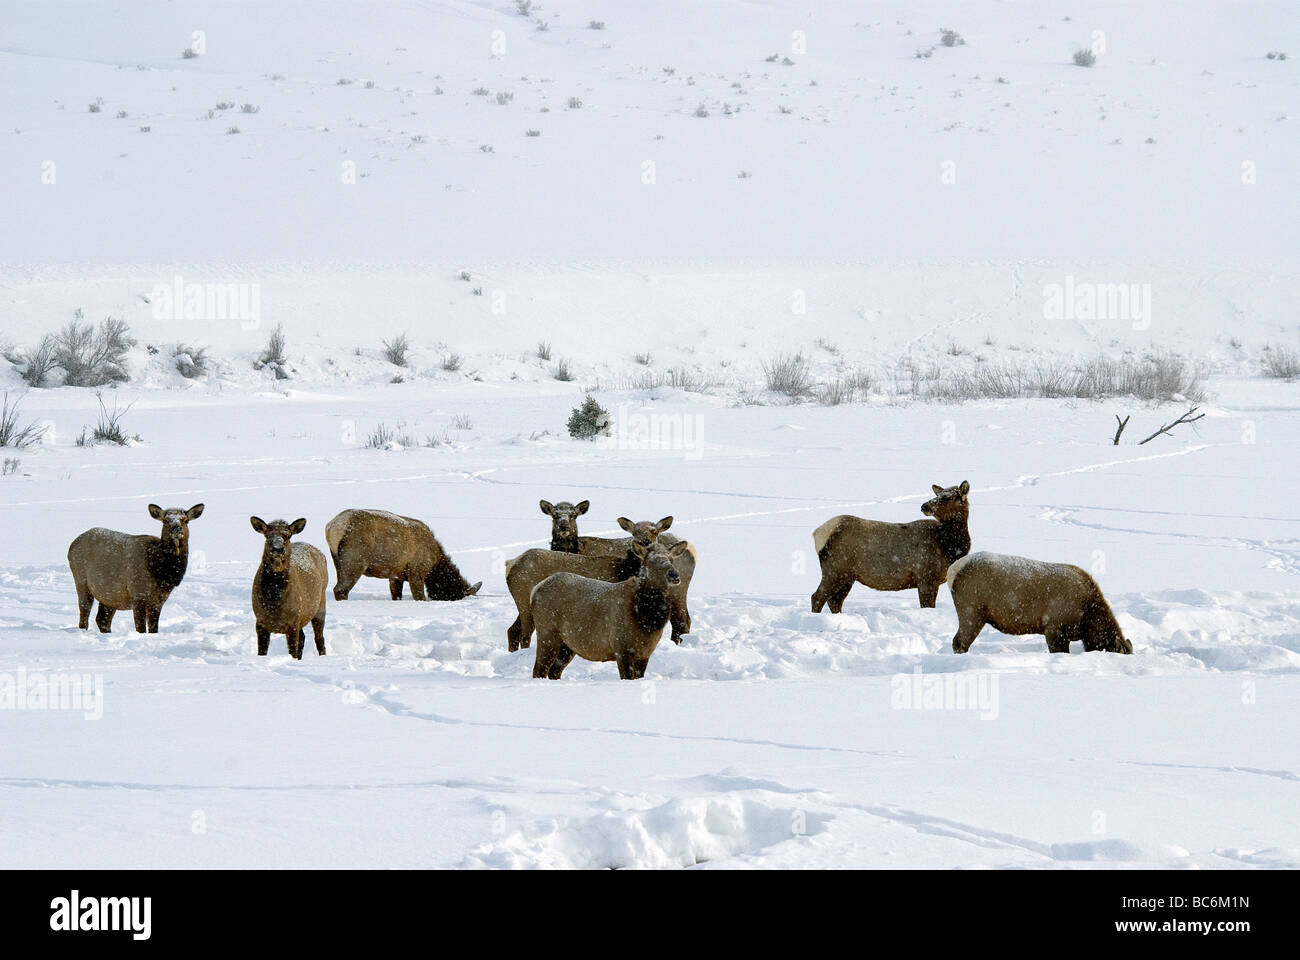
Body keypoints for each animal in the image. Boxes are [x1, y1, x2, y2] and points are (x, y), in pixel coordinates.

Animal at [68, 503, 204, 633]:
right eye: (165, 520)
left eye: (185, 520)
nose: (177, 529)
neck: (162, 574)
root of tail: (71, 545)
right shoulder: (138, 595)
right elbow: (141, 629)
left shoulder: (159, 601)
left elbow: (154, 629)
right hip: (81, 581)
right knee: (84, 614)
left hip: (110, 594)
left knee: (102, 619)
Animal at [250, 517, 328, 660]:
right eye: (267, 536)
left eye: (287, 535)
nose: (277, 548)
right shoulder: (260, 621)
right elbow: (262, 652)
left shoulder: (293, 622)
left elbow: (293, 652)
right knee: (303, 638)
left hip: (320, 604)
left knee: (319, 639)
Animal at [325, 508, 481, 601]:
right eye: (455, 595)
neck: (434, 565)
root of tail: (331, 527)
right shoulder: (417, 572)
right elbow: (419, 596)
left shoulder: (395, 576)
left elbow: (396, 595)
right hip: (355, 561)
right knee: (341, 589)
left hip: (337, 561)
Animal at [529, 540, 693, 680]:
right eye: (651, 562)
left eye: (671, 559)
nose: (674, 575)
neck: (646, 621)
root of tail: (536, 589)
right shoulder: (621, 648)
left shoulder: (645, 653)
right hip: (547, 633)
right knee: (539, 670)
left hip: (568, 644)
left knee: (554, 671)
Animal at [811, 481, 971, 612]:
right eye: (939, 495)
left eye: (948, 497)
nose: (924, 506)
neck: (949, 547)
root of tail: (817, 533)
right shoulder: (925, 575)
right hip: (834, 569)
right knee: (817, 597)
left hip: (848, 575)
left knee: (835, 601)